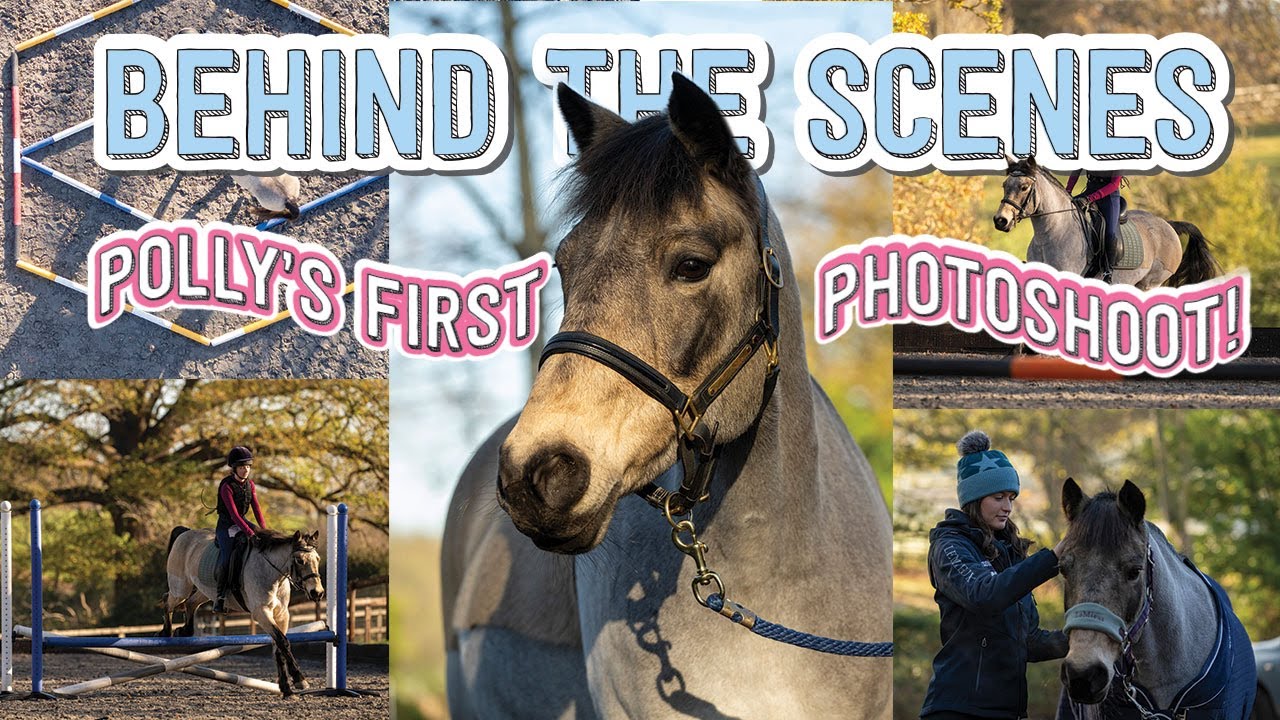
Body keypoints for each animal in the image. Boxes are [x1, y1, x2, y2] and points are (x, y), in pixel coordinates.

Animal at [161, 527, 324, 697]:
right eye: (299, 560)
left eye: (317, 559)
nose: (317, 593)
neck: (272, 574)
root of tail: (186, 532)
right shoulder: (261, 612)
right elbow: (282, 641)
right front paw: (299, 679)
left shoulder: (281, 614)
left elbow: (279, 646)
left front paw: (286, 688)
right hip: (181, 588)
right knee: (168, 601)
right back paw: (166, 632)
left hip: (203, 591)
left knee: (191, 603)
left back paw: (184, 631)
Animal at [993, 157, 1220, 289]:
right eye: (1004, 185)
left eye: (1024, 187)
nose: (1000, 220)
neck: (1050, 235)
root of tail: (1168, 224)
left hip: (1150, 282)